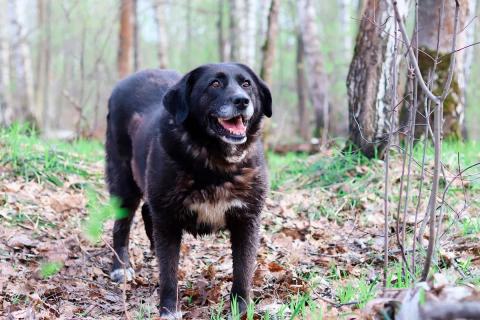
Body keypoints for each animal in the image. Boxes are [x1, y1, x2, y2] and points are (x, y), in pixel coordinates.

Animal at [105, 63, 272, 318]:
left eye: (247, 84)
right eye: (215, 84)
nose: (242, 101)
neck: (215, 164)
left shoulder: (247, 219)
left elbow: (243, 271)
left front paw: (241, 309)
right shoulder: (168, 220)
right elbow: (169, 273)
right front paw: (168, 309)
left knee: (146, 211)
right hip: (124, 183)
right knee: (121, 226)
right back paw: (121, 268)